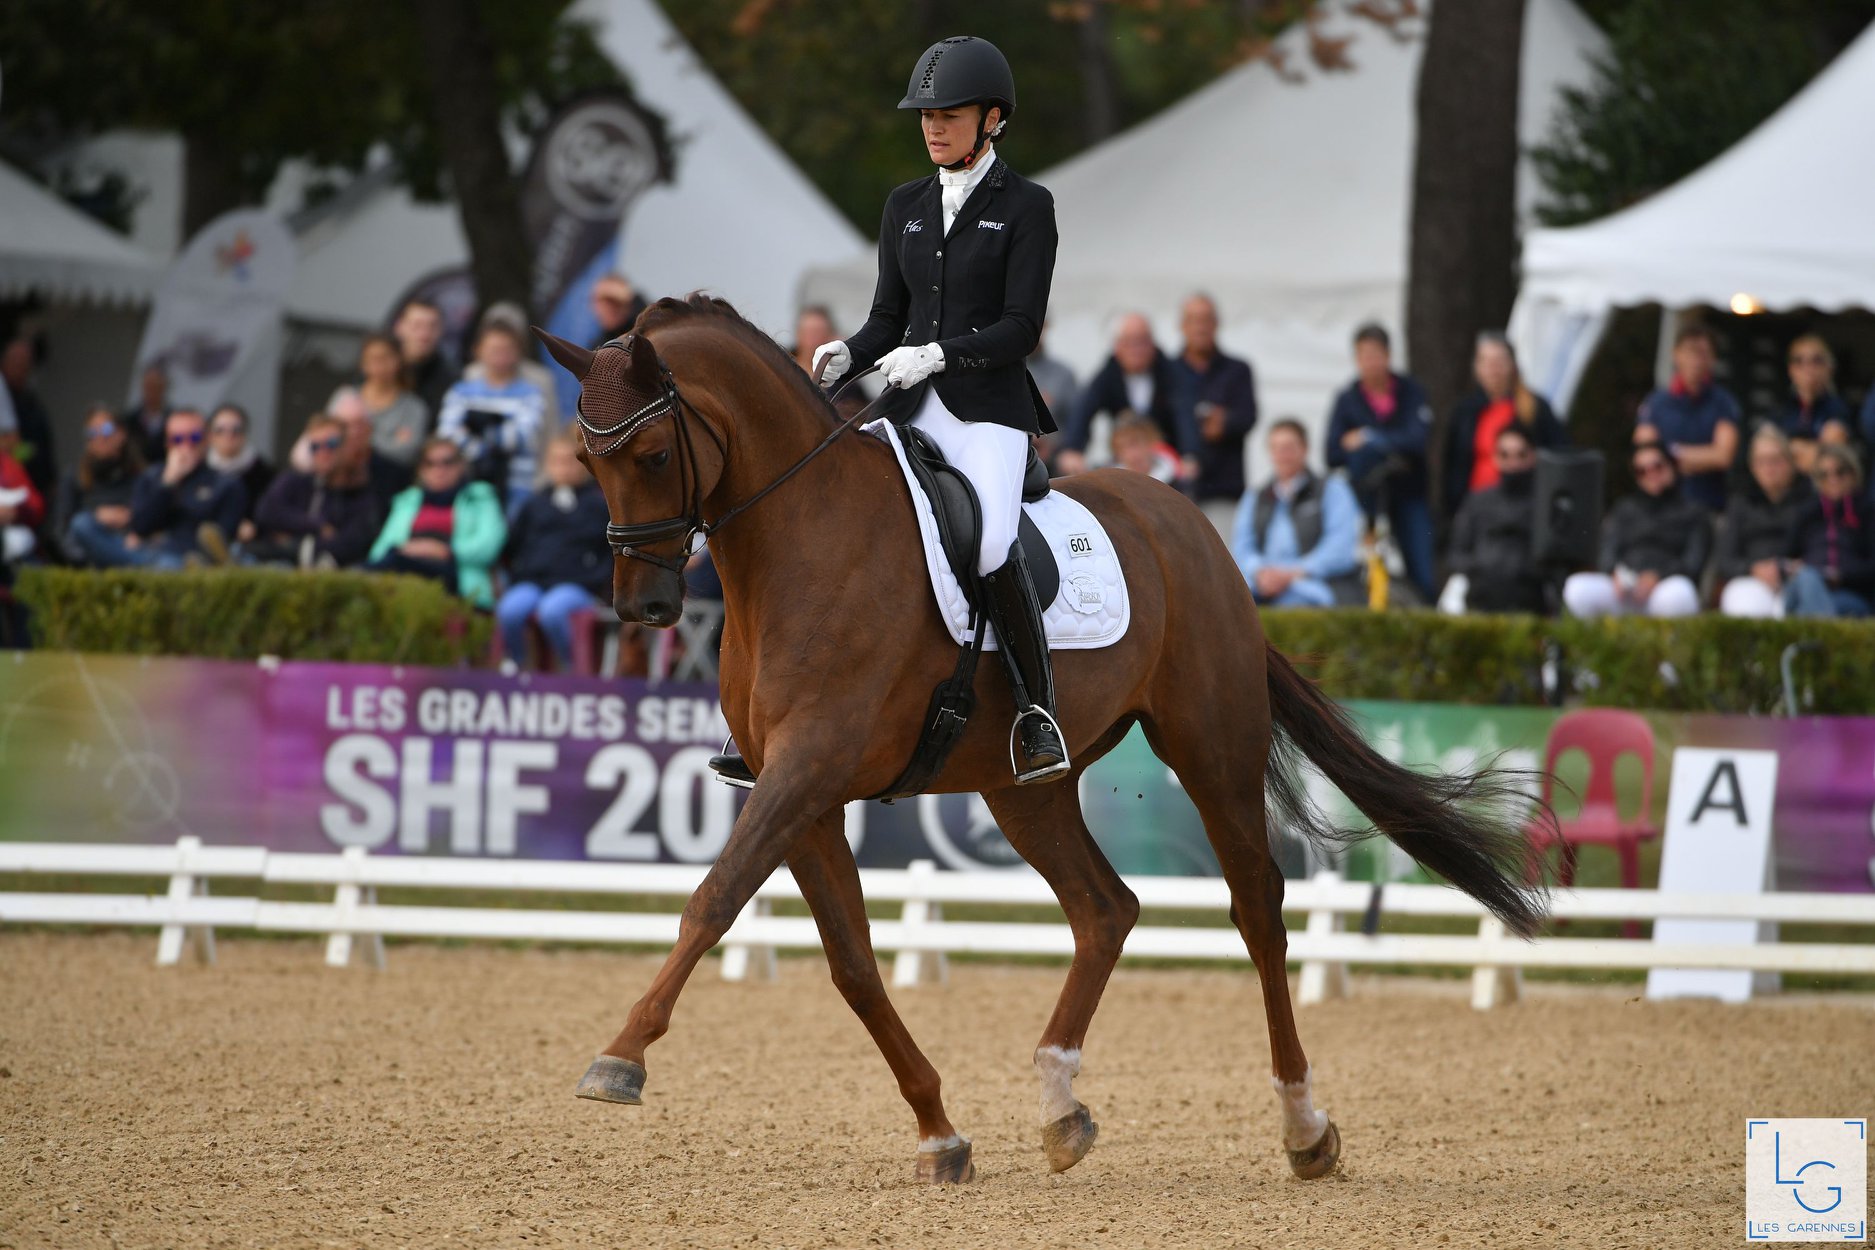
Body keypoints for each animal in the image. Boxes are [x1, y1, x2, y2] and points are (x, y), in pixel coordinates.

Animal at [536, 297, 1545, 1191]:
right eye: (586, 459)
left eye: (653, 453)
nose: (644, 608)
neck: (801, 542)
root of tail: (1192, 526)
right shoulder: (805, 796)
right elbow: (853, 965)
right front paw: (940, 1135)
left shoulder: (806, 770)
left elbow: (710, 901)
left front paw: (618, 1060)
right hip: (1024, 785)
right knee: (1105, 908)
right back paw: (1061, 1107)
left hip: (1211, 744)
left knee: (1256, 907)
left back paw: (1304, 1129)